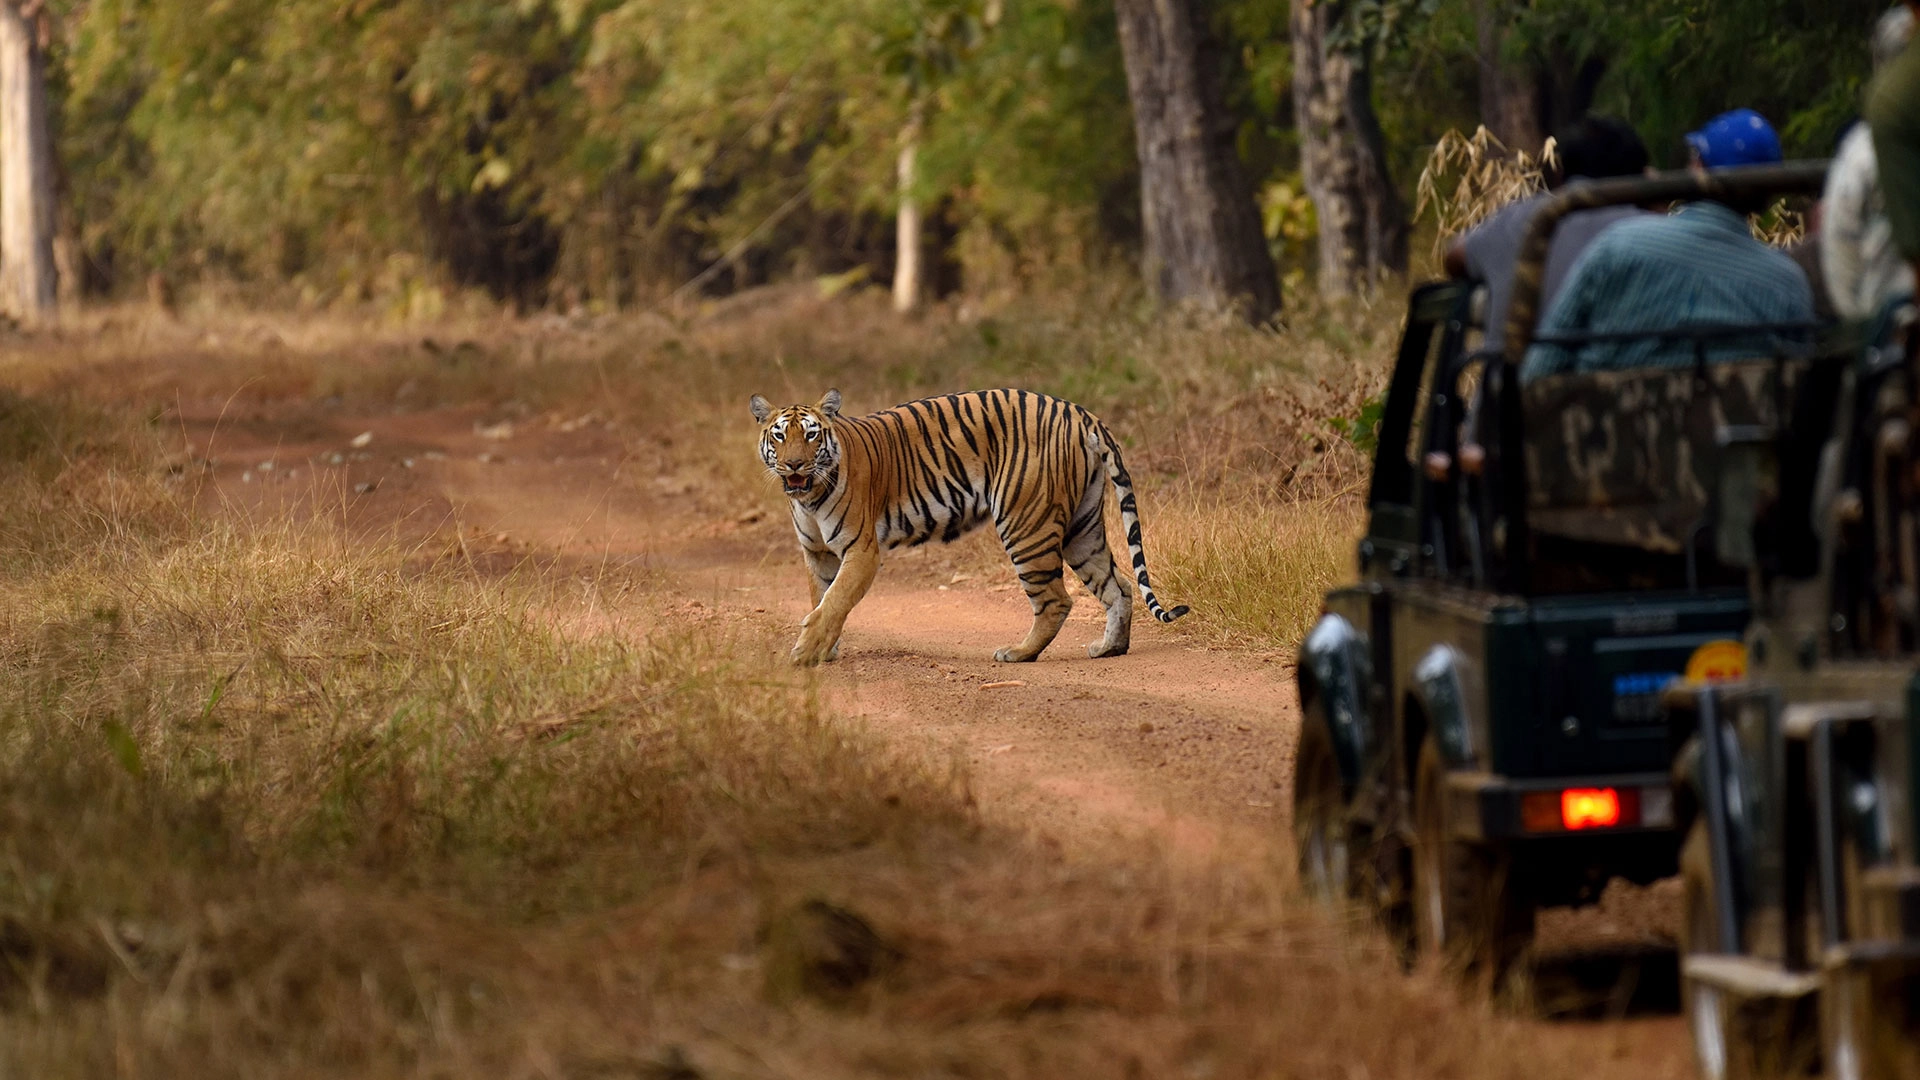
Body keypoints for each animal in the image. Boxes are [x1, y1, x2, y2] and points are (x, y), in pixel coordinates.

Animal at [750, 387, 1190, 667]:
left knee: (1055, 600)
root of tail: (1077, 410)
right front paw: (824, 650)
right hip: (1083, 530)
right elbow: (822, 599)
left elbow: (834, 601)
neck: (807, 497)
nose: (794, 465)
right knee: (1120, 586)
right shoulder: (818, 553)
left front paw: (805, 653)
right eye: (779, 436)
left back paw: (1018, 653)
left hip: (1025, 524)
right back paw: (1108, 648)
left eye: (811, 435)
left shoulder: (861, 550)